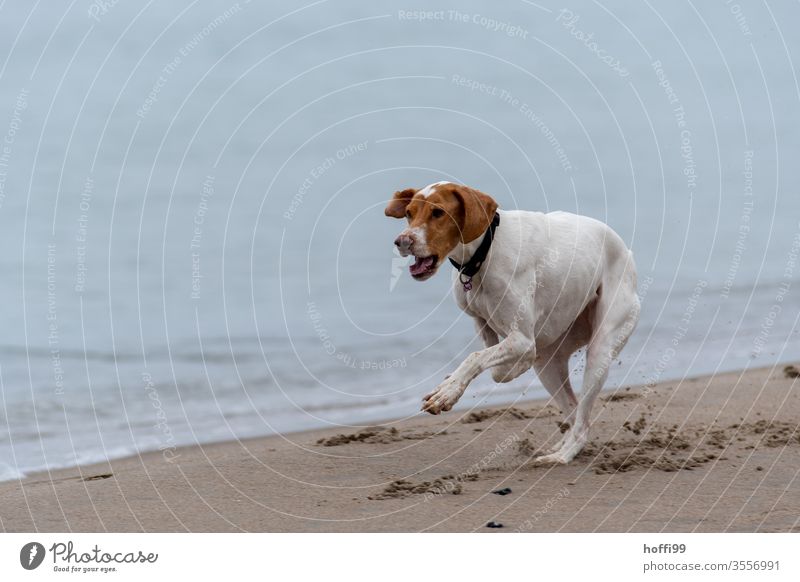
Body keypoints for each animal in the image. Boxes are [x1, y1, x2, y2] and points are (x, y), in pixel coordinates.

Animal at [384, 182, 640, 466]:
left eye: (438, 212)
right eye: (409, 213)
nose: (402, 241)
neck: (484, 254)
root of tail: (627, 252)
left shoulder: (523, 340)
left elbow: (477, 359)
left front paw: (446, 393)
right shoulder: (484, 324)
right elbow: (495, 368)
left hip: (600, 349)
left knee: (582, 423)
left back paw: (562, 456)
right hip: (548, 363)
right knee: (573, 411)